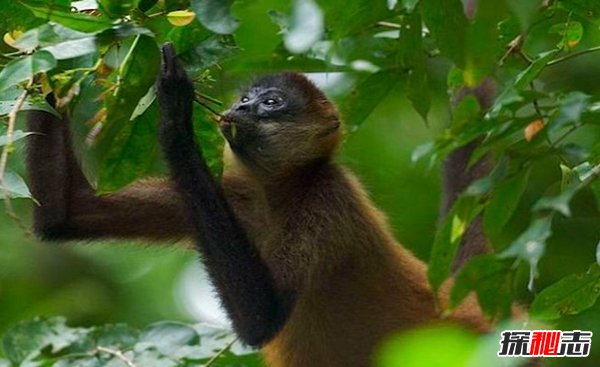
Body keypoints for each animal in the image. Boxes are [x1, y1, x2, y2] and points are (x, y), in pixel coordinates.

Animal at [25, 44, 490, 366]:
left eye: (271, 102)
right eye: (247, 99)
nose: (243, 106)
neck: (276, 198)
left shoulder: (326, 196)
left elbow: (261, 316)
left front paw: (175, 115)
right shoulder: (237, 196)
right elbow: (67, 212)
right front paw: (44, 62)